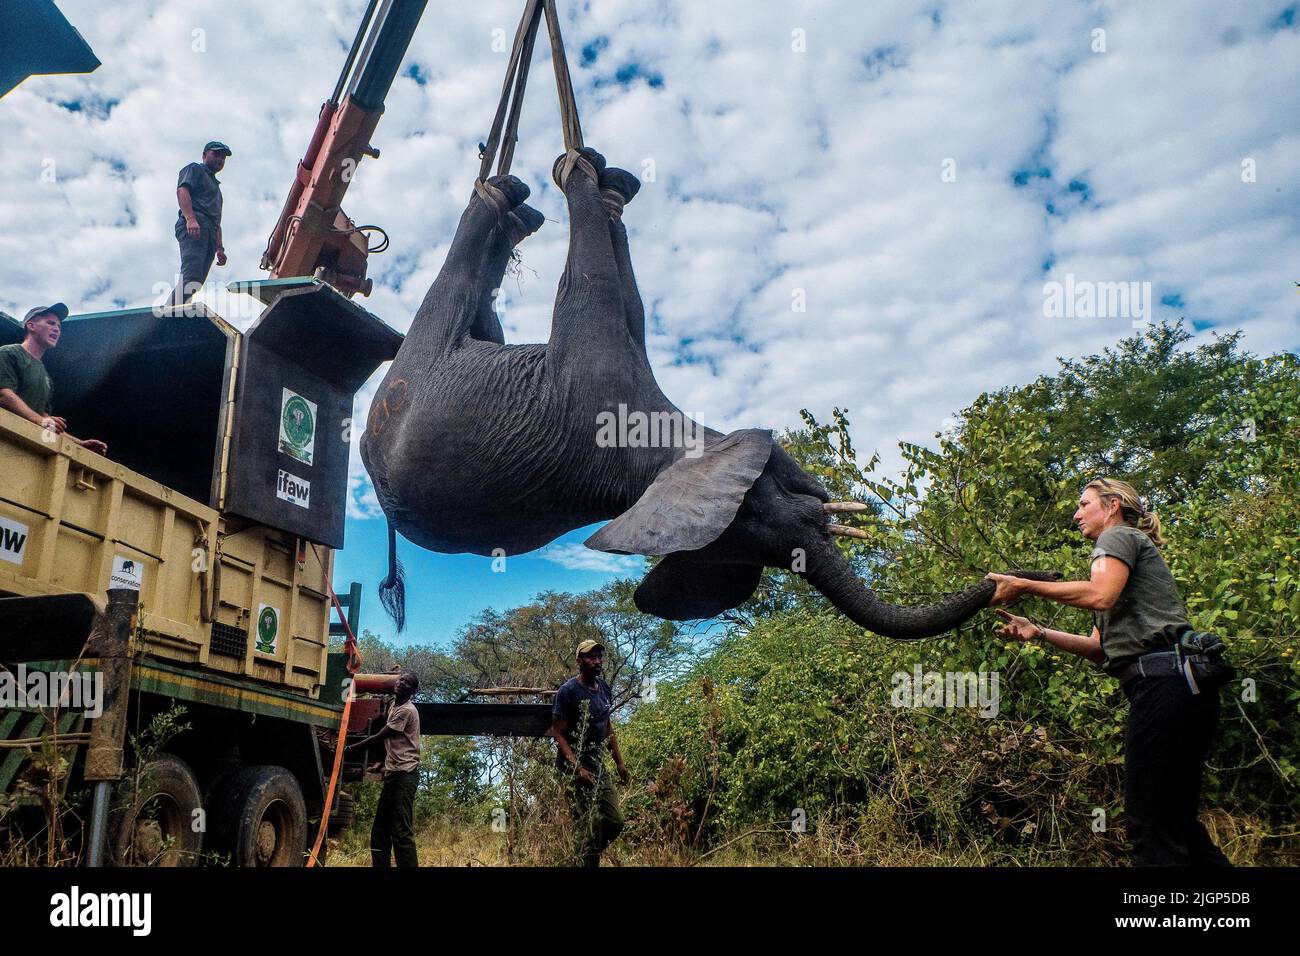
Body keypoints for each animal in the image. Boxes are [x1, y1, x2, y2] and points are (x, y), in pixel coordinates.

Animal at [358, 147, 1055, 634]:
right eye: (769, 513)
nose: (1031, 577)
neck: (653, 457)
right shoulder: (595, 377)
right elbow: (597, 285)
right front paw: (578, 171)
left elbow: (630, 294)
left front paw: (611, 186)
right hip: (413, 365)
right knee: (455, 284)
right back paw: (507, 193)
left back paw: (521, 206)